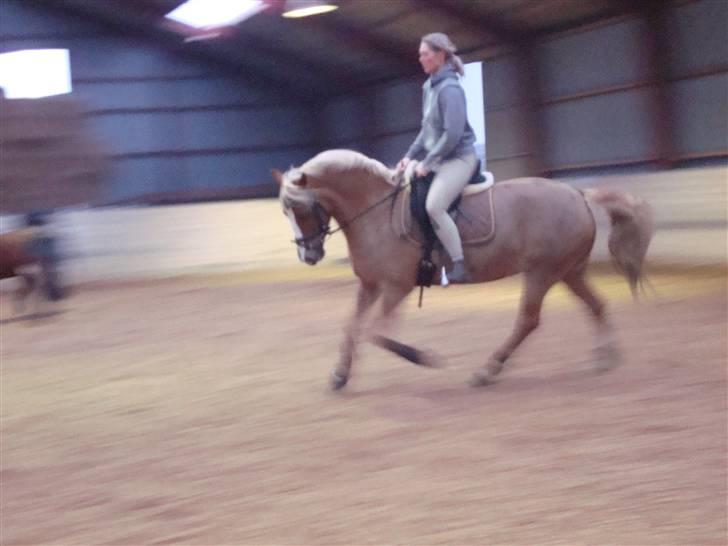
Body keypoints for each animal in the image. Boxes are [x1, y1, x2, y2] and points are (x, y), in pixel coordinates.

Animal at [272, 149, 656, 386]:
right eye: (284, 210)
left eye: (300, 208)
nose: (308, 256)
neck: (376, 213)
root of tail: (577, 194)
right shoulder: (370, 285)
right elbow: (351, 328)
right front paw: (340, 375)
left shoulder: (397, 287)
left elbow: (374, 333)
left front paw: (425, 357)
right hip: (568, 272)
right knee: (596, 305)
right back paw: (605, 357)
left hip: (543, 272)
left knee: (528, 320)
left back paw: (487, 371)